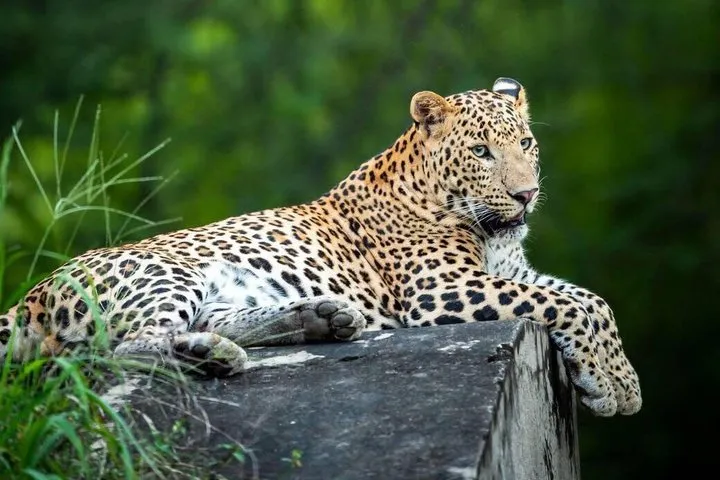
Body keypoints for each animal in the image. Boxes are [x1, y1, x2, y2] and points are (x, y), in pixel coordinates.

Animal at [0, 77, 641, 417]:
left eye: (526, 143)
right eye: (481, 151)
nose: (526, 194)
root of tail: (34, 294)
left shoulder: (514, 271)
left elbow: (595, 301)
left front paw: (622, 379)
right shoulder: (440, 290)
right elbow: (571, 306)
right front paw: (613, 388)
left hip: (210, 291)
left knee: (204, 326)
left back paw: (321, 318)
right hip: (160, 273)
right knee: (116, 352)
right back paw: (215, 356)